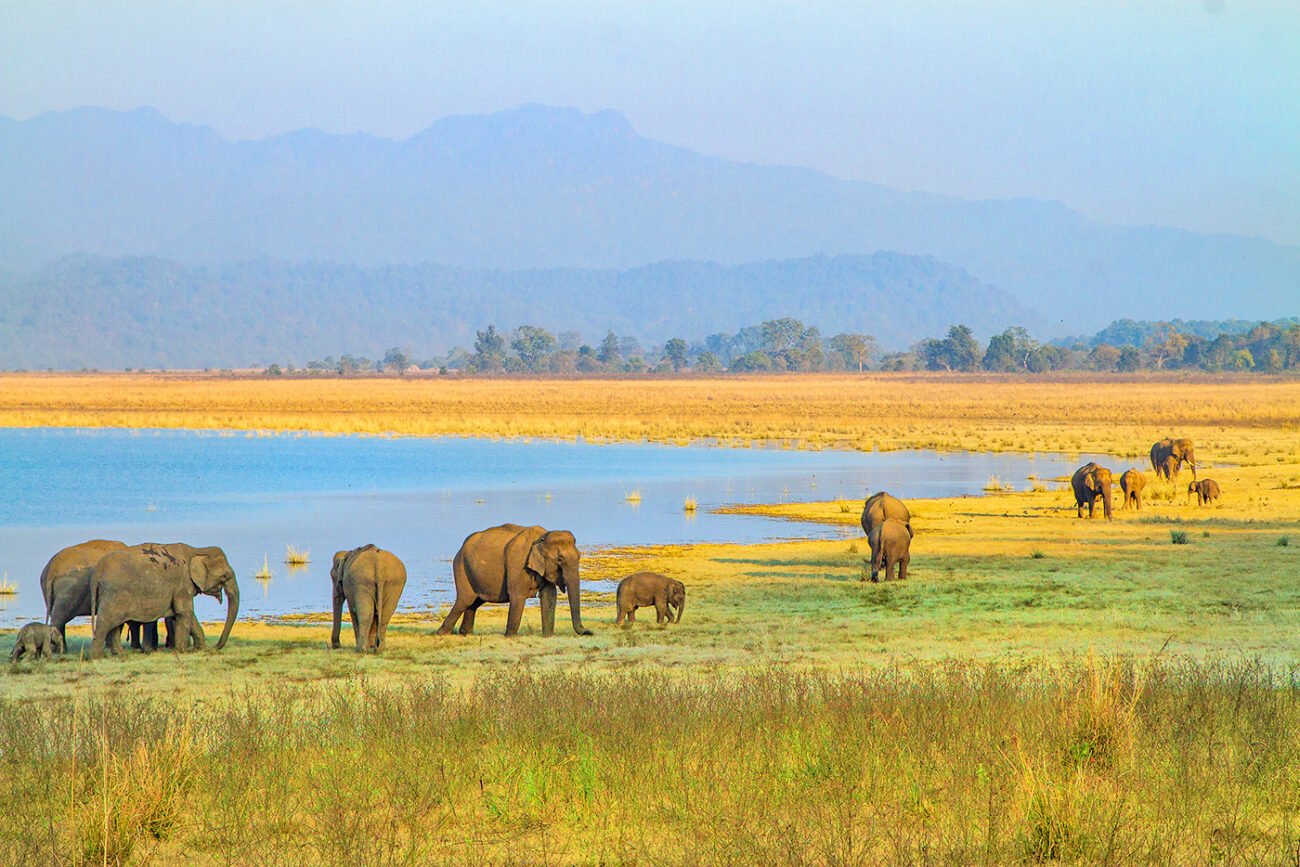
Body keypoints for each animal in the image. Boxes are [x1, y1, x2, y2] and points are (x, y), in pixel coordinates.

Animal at [89, 543, 239, 659]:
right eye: (225, 576)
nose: (214, 648)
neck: (197, 550)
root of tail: (99, 569)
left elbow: (184, 615)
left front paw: (199, 649)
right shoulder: (183, 582)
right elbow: (184, 612)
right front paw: (181, 651)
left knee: (115, 624)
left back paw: (120, 655)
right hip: (114, 593)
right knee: (105, 622)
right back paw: (97, 657)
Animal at [437, 523, 592, 637]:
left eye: (579, 556)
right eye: (559, 559)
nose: (589, 632)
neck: (542, 536)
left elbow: (549, 596)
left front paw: (548, 636)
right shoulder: (518, 563)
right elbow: (518, 595)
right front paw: (510, 636)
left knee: (474, 602)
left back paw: (465, 634)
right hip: (461, 566)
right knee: (465, 600)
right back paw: (442, 633)